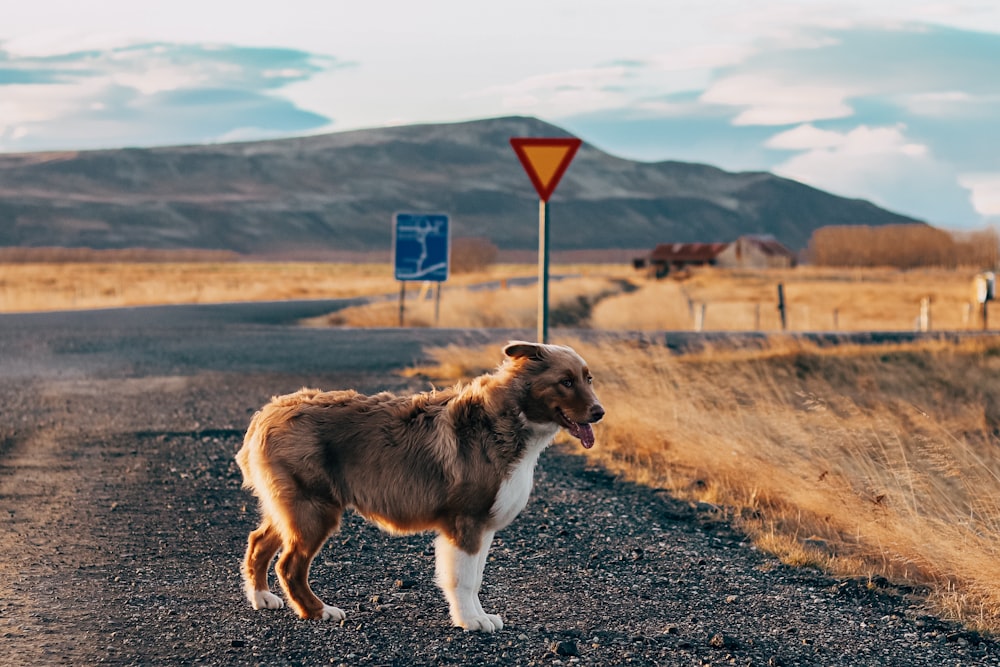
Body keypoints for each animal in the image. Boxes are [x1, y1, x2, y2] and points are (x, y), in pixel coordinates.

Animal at [238, 342, 604, 636]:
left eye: (588, 379)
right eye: (566, 382)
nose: (600, 412)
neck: (509, 419)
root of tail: (268, 412)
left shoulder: (483, 526)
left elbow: (475, 578)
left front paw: (478, 616)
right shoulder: (465, 523)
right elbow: (463, 579)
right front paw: (471, 621)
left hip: (290, 508)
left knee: (258, 542)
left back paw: (261, 597)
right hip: (314, 510)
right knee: (289, 566)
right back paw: (318, 611)